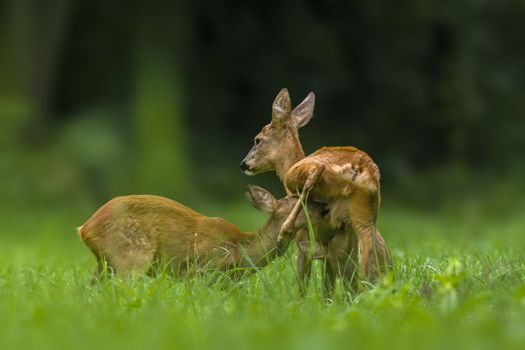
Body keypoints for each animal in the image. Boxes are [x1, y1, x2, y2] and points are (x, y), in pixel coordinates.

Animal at [77, 185, 328, 278]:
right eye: (302, 203)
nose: (324, 207)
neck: (242, 250)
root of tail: (85, 228)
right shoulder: (201, 268)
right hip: (132, 256)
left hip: (106, 263)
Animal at [239, 89, 390, 294]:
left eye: (257, 140)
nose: (244, 164)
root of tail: (360, 166)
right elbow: (328, 286)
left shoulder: (305, 246)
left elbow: (303, 282)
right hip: (364, 217)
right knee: (365, 265)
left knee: (315, 172)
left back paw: (284, 232)